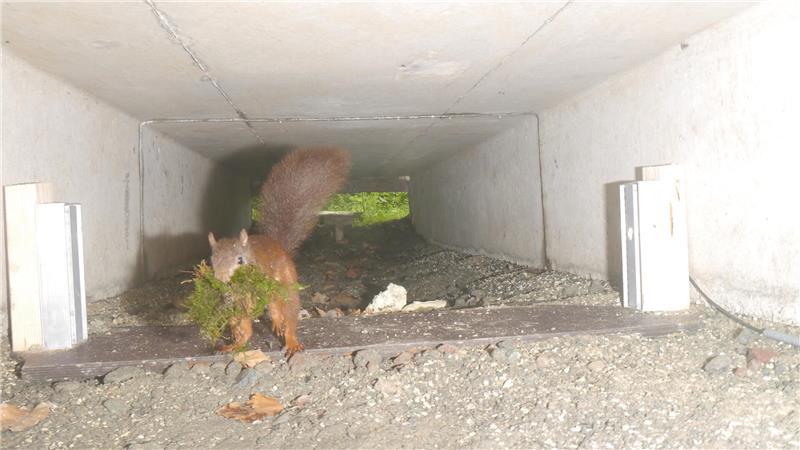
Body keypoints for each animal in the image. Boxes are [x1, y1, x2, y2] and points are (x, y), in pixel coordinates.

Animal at [207, 147, 351, 355]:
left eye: (240, 260)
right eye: (212, 261)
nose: (222, 279)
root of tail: (279, 246)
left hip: (287, 283)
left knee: (287, 313)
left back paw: (291, 340)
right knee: (251, 326)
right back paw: (237, 344)